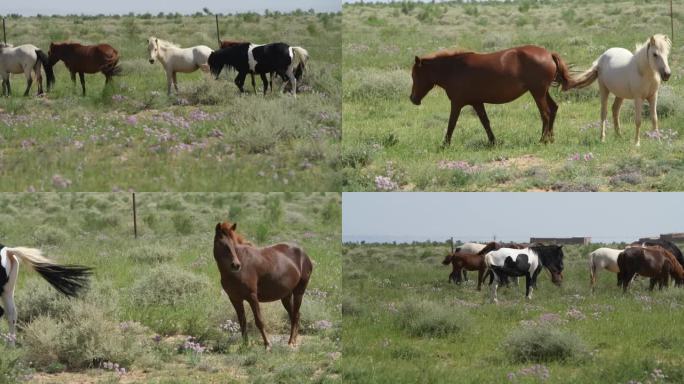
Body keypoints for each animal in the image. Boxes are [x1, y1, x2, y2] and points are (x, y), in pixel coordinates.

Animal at [212, 220, 314, 350]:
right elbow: (242, 322)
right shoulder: (235, 299)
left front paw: (267, 344)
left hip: (299, 293)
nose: (235, 265)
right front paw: (245, 345)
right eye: (221, 243)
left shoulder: (252, 297)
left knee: (295, 315)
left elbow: (259, 321)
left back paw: (292, 342)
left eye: (233, 245)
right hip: (286, 296)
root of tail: (305, 255)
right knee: (294, 316)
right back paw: (292, 340)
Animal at [408, 45, 576, 147]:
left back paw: (542, 140)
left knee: (545, 113)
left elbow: (451, 123)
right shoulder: (477, 102)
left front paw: (445, 144)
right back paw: (551, 138)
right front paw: (493, 142)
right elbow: (485, 122)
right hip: (542, 91)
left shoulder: (456, 103)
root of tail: (549, 54)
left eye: (414, 75)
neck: (454, 69)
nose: (413, 99)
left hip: (537, 92)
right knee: (553, 109)